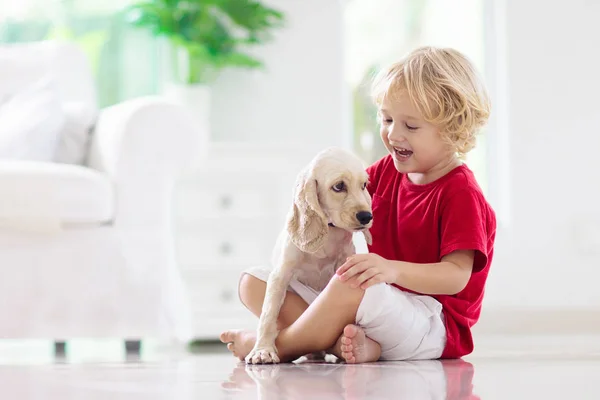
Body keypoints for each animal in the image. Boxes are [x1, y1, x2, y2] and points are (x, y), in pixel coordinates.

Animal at [246, 148, 372, 366]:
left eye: (364, 185)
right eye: (339, 186)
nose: (367, 217)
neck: (328, 231)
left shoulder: (343, 265)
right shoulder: (280, 275)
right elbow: (268, 314)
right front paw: (262, 351)